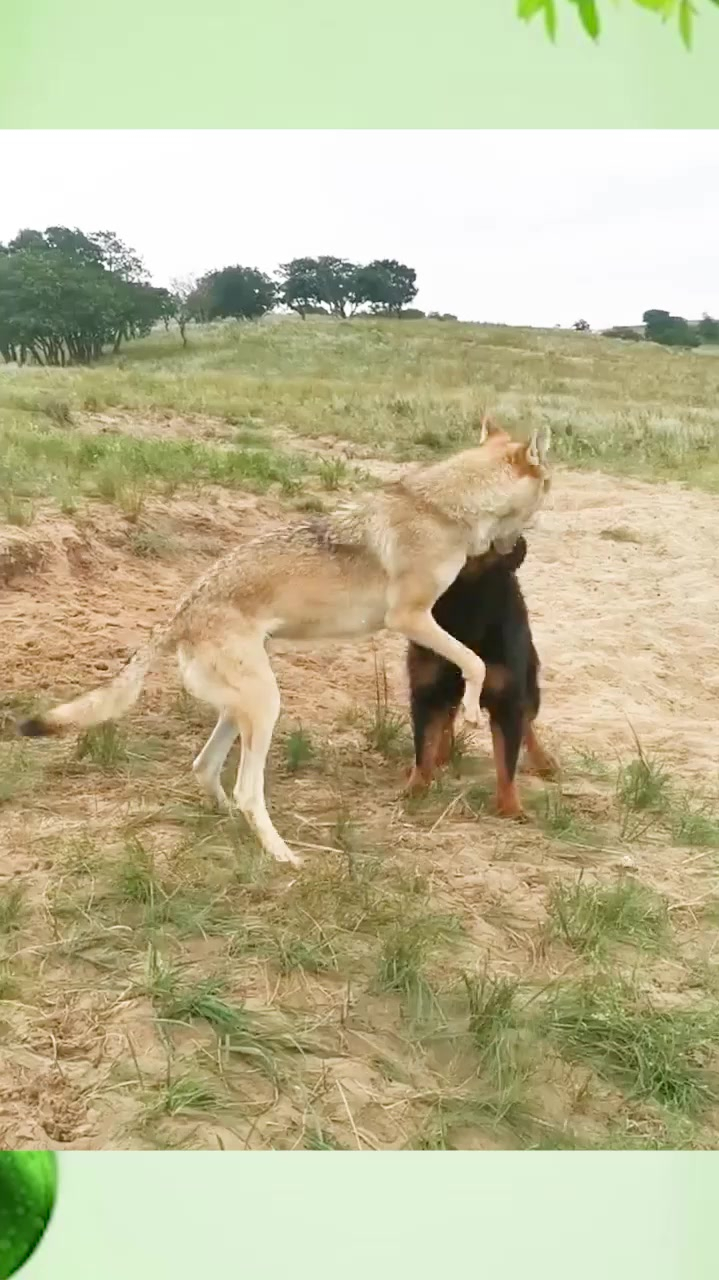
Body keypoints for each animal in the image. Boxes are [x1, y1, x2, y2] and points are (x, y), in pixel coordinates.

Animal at [404, 535, 555, 814]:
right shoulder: (427, 689)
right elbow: (424, 744)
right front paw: (416, 787)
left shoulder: (507, 699)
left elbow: (506, 758)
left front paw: (510, 807)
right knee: (447, 720)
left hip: (530, 686)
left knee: (528, 724)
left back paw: (543, 760)